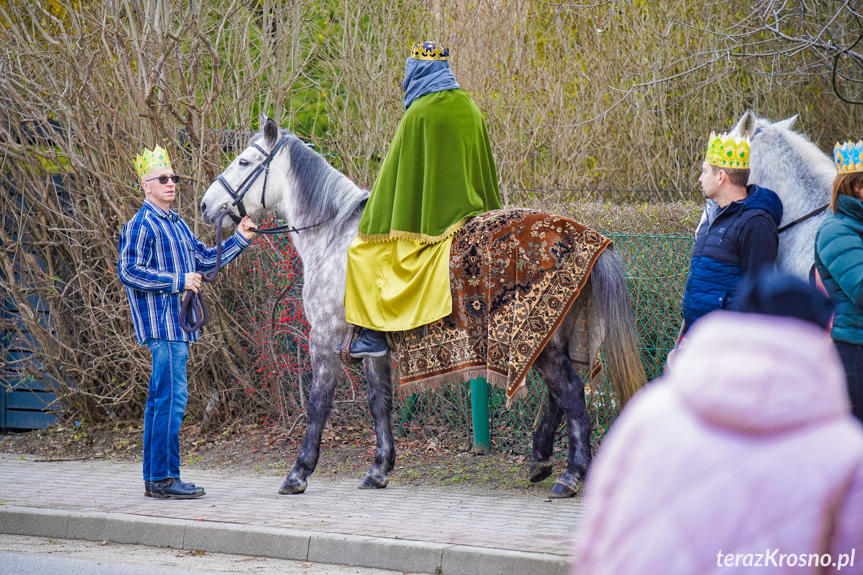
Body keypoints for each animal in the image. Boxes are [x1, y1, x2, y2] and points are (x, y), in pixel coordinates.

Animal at [202, 118, 644, 500]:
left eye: (244, 162)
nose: (207, 205)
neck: (332, 235)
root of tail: (588, 238)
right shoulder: (373, 350)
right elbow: (379, 402)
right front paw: (379, 469)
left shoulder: (324, 337)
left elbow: (318, 403)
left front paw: (298, 473)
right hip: (553, 335)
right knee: (561, 394)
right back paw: (540, 459)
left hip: (537, 337)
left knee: (569, 391)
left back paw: (570, 475)